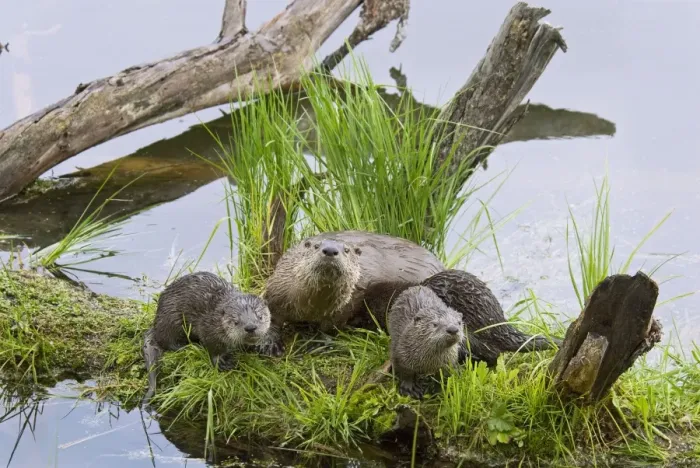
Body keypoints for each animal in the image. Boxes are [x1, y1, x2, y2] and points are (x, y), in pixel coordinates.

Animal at [142, 271, 271, 403]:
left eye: (260, 317)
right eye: (236, 321)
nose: (250, 327)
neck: (216, 318)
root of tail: (156, 323)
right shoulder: (208, 329)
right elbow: (213, 348)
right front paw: (221, 362)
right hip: (171, 319)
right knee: (167, 341)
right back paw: (191, 346)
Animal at [258, 230, 445, 356]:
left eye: (346, 250)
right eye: (316, 246)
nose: (330, 250)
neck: (310, 307)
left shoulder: (345, 307)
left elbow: (330, 327)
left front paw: (319, 342)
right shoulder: (277, 290)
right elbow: (270, 315)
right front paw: (268, 342)